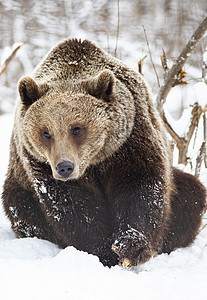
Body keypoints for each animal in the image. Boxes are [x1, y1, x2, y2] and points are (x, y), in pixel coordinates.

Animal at [2, 38, 207, 268]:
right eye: (46, 132)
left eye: (77, 128)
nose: (65, 167)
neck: (95, 160)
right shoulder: (40, 163)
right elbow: (73, 207)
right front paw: (102, 251)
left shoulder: (129, 141)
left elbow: (140, 186)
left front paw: (131, 246)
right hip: (19, 185)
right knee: (21, 208)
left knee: (192, 195)